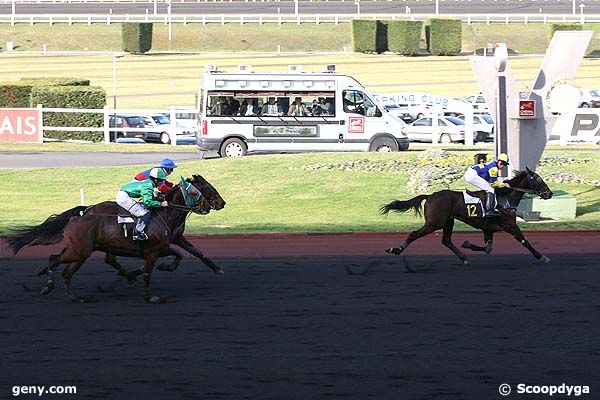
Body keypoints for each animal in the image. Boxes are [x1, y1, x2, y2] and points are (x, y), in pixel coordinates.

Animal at [8, 173, 225, 302]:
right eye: (204, 189)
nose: (220, 203)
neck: (164, 215)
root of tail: (81, 214)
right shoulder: (154, 250)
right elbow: (151, 270)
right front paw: (150, 294)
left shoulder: (171, 241)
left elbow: (193, 253)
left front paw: (216, 268)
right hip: (80, 251)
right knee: (58, 261)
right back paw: (49, 285)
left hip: (82, 250)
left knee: (70, 268)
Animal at [382, 169, 556, 266]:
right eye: (538, 179)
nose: (549, 193)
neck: (505, 198)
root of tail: (430, 196)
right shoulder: (510, 225)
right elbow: (524, 241)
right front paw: (542, 257)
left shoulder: (488, 229)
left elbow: (488, 248)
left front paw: (467, 244)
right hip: (434, 223)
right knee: (414, 234)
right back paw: (396, 249)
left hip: (448, 221)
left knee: (446, 240)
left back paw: (464, 257)